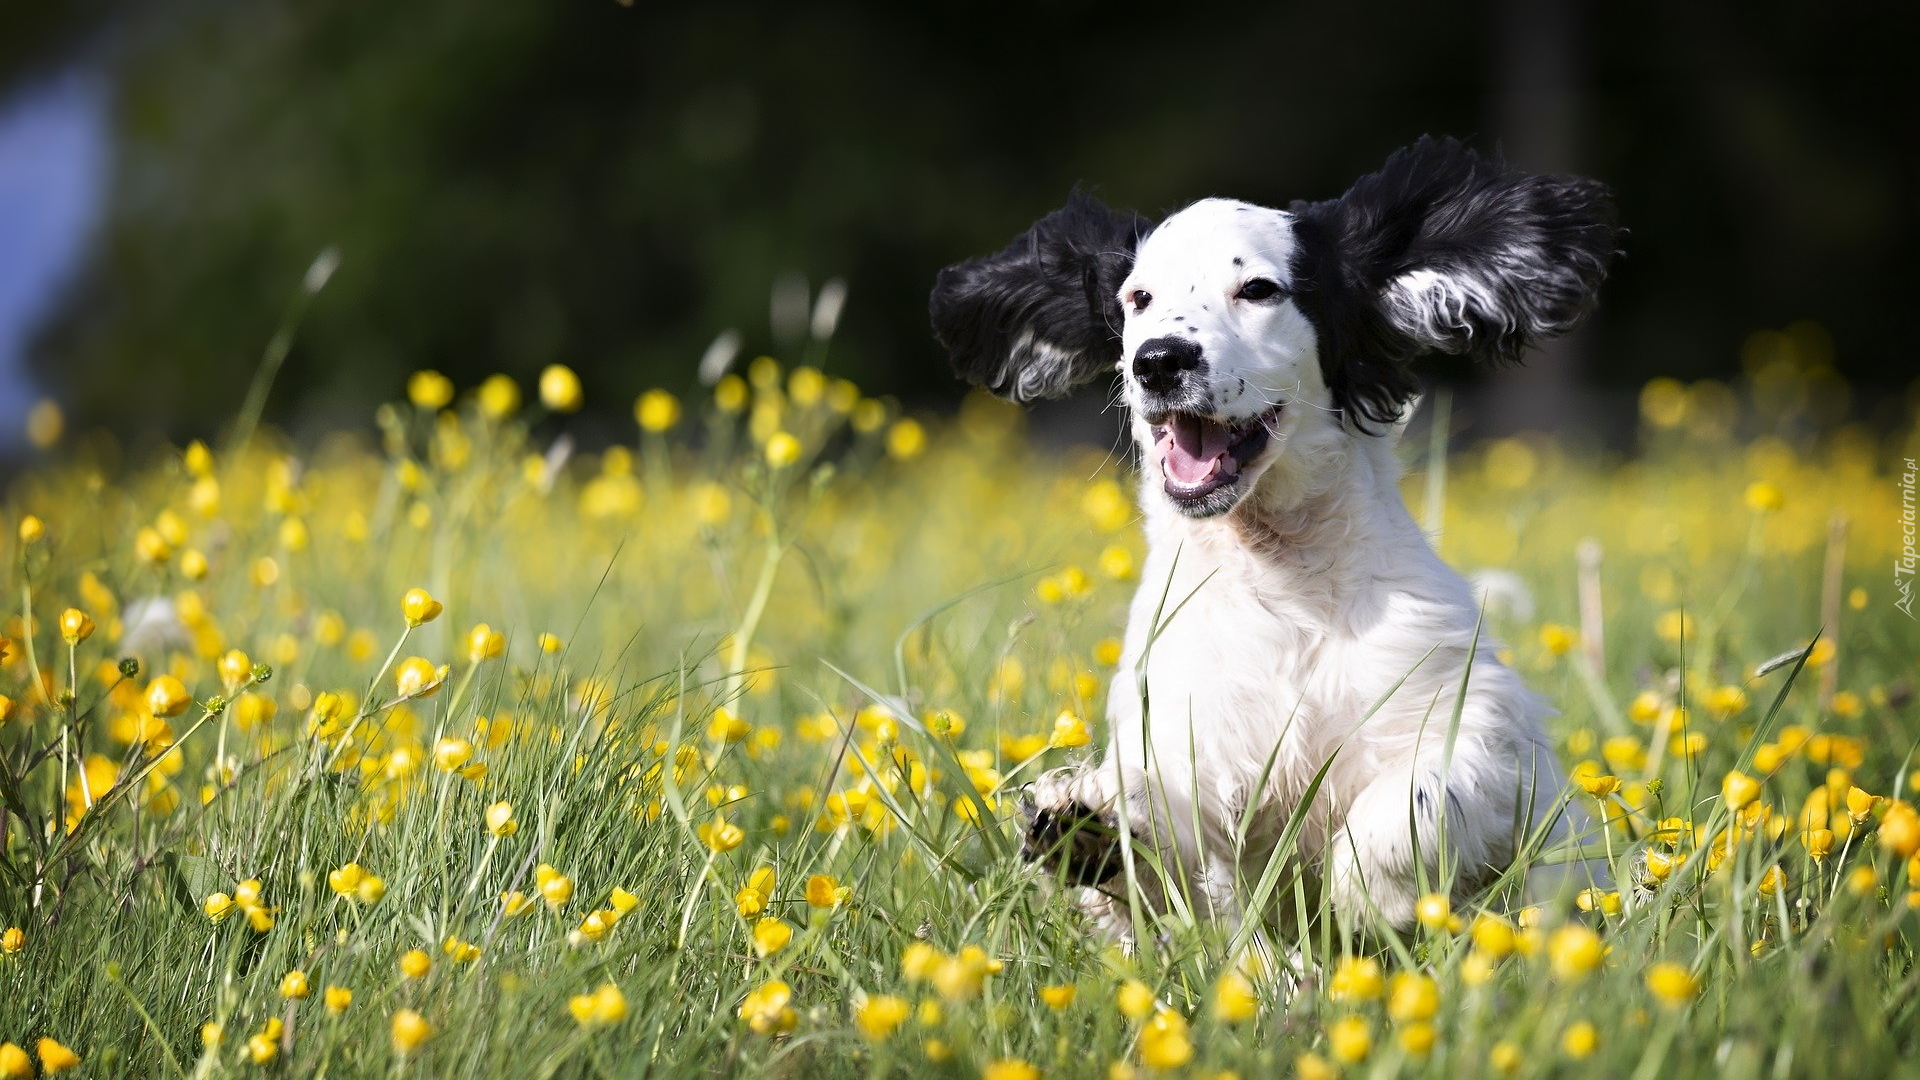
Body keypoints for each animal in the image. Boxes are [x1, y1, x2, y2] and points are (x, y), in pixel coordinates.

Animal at [929, 136, 1620, 941]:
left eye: (1259, 289)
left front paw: (1371, 895)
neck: (1278, 576)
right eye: (1137, 299)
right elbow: (1166, 851)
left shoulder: (1480, 729)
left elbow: (1412, 800)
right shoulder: (1185, 744)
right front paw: (1086, 827)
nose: (1159, 360)